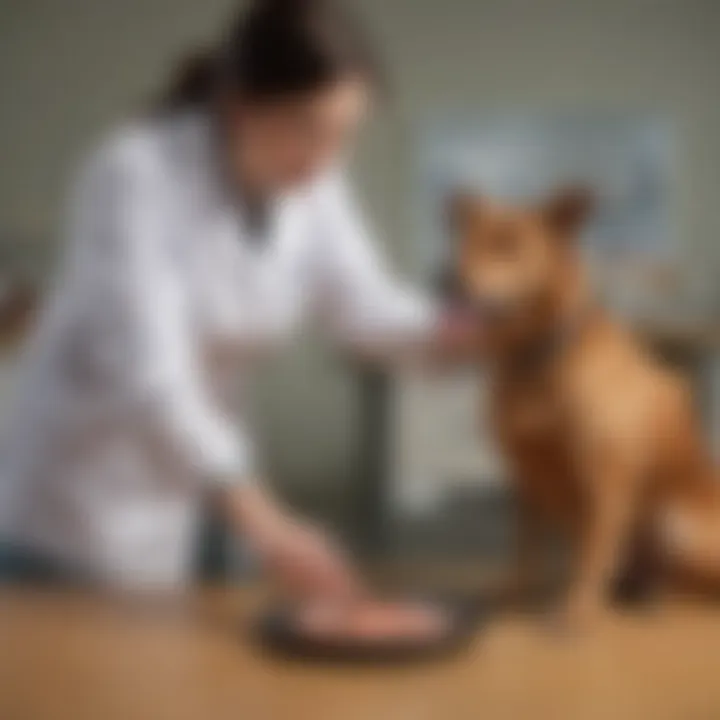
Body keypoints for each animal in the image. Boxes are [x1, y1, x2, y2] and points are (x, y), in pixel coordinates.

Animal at [452, 188, 720, 628]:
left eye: (509, 243)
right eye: (463, 243)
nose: (444, 279)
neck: (537, 359)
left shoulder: (606, 480)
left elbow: (592, 553)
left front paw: (576, 610)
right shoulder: (527, 479)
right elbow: (525, 551)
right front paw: (513, 594)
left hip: (675, 525)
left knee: (691, 586)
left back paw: (656, 601)